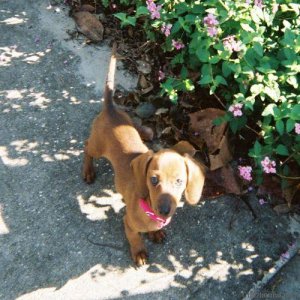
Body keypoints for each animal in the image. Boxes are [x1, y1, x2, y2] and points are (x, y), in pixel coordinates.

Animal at [82, 43, 206, 266]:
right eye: (153, 180)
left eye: (180, 181)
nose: (164, 210)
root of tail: (110, 108)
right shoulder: (128, 223)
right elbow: (135, 237)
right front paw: (139, 251)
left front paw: (155, 233)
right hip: (97, 146)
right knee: (87, 147)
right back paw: (88, 170)